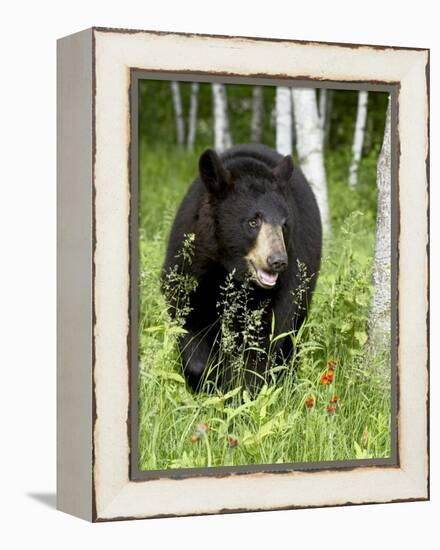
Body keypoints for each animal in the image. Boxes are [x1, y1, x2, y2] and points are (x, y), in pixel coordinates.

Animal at [163, 142, 322, 392]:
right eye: (253, 221)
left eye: (284, 224)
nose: (278, 261)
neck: (230, 270)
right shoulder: (191, 265)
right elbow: (187, 317)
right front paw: (205, 379)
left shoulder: (285, 287)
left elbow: (263, 342)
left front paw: (240, 390)